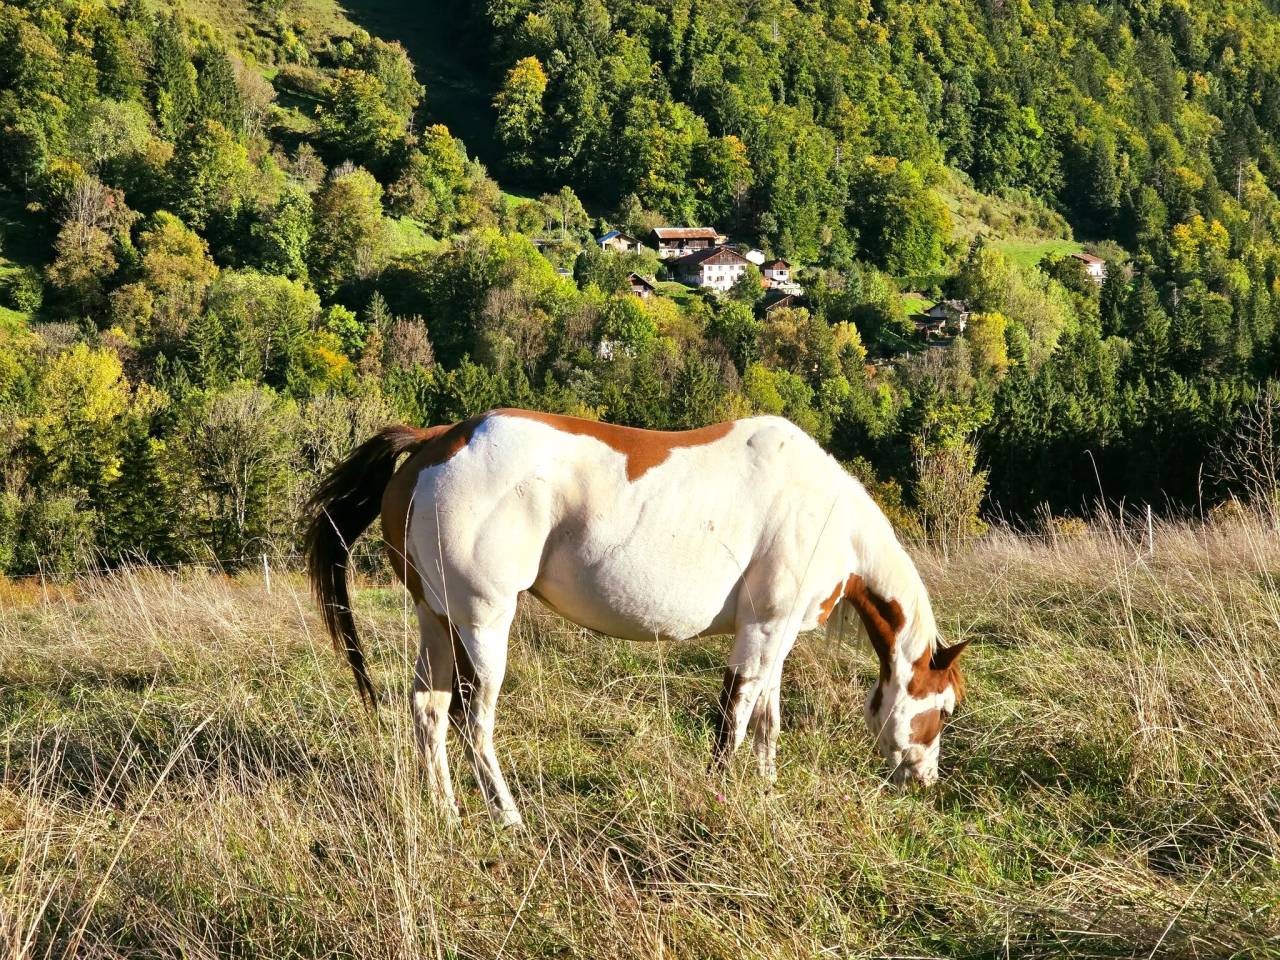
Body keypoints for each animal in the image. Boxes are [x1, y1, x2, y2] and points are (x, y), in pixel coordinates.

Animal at [304, 408, 969, 827]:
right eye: (945, 710)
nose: (925, 779)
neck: (823, 510)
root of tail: (437, 440)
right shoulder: (760, 633)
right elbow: (734, 719)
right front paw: (721, 797)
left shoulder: (776, 637)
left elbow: (767, 722)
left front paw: (767, 792)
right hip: (483, 625)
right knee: (474, 722)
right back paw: (509, 816)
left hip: (436, 620)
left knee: (429, 708)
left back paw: (445, 810)